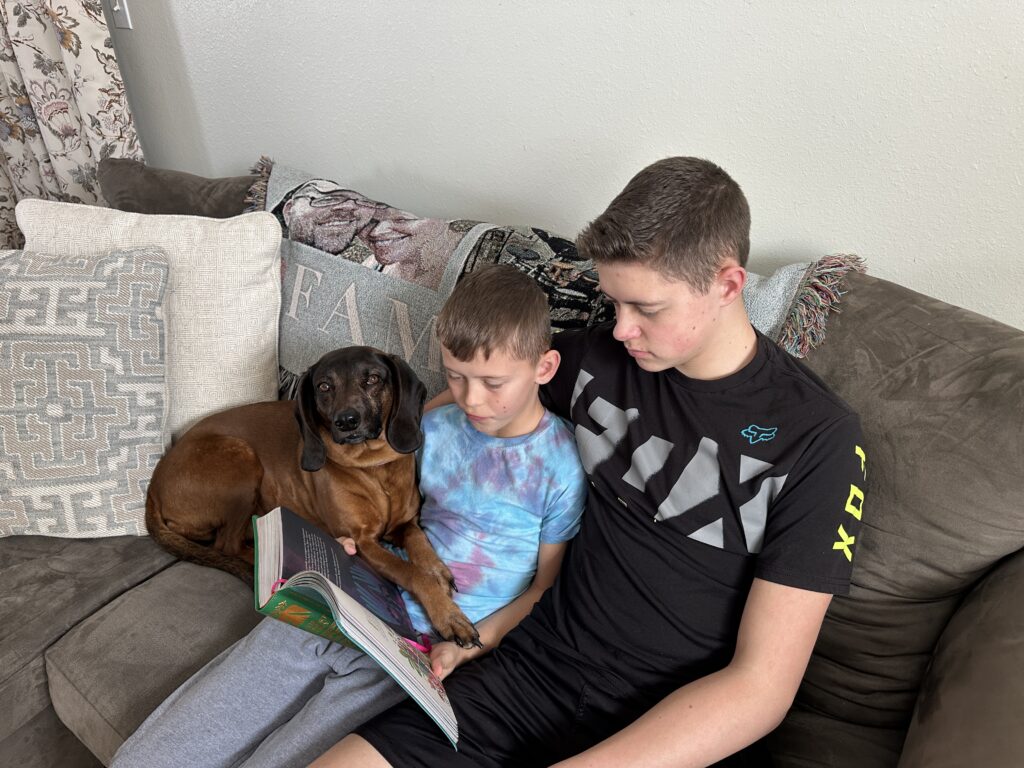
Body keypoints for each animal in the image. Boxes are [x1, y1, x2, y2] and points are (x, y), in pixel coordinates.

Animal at [145, 348, 479, 651]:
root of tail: (154, 484)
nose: (346, 421)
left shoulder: (404, 524)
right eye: (324, 386)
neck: (372, 467)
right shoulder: (363, 542)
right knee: (226, 545)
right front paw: (448, 615)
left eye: (372, 378)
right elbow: (411, 572)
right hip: (241, 458)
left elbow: (419, 541)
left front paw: (437, 571)